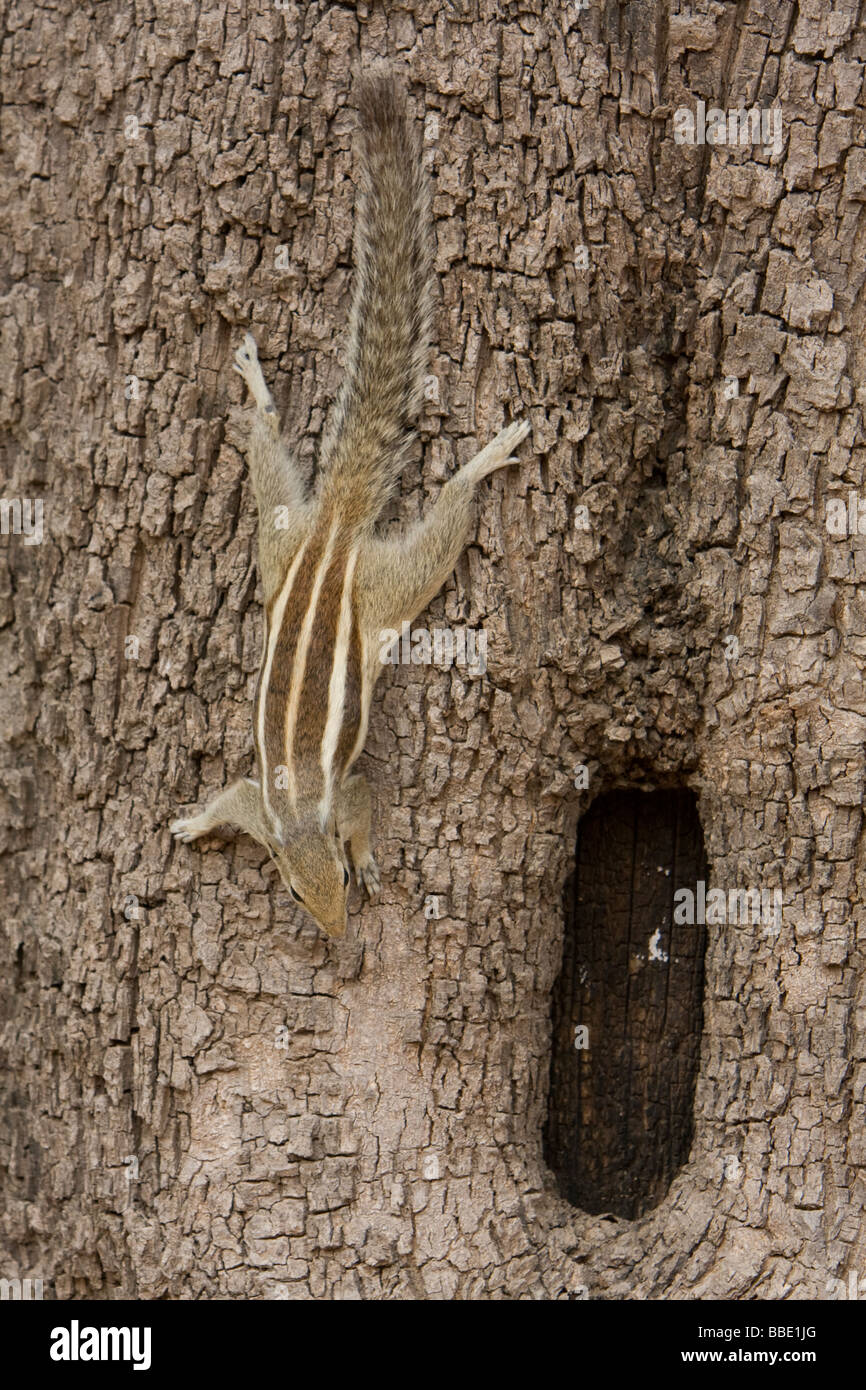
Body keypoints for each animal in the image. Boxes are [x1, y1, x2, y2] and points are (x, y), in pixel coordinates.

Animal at [170, 65, 530, 934]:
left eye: (332, 873)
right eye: (295, 891)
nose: (336, 936)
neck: (301, 808)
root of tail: (332, 525)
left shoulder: (346, 789)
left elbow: (365, 801)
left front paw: (369, 857)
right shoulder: (259, 801)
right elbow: (229, 800)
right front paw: (194, 822)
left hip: (380, 585)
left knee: (443, 525)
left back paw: (481, 461)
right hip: (281, 538)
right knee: (272, 457)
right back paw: (260, 394)